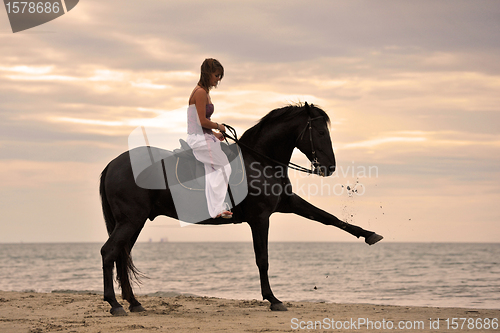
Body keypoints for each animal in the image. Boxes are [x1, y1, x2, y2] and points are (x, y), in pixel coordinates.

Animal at [98, 102, 382, 316]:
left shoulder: (289, 203)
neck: (260, 160)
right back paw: (114, 304)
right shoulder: (260, 218)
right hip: (131, 221)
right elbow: (262, 259)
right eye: (321, 133)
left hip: (134, 222)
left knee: (121, 255)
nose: (329, 167)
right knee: (109, 252)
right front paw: (273, 299)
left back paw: (134, 303)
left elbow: (328, 218)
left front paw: (369, 234)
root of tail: (112, 164)